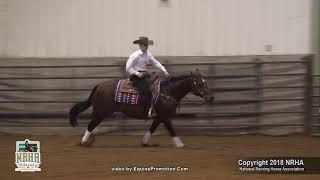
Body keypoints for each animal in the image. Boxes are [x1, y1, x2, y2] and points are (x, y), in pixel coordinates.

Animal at [70, 69, 215, 148]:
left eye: (205, 82)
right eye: (200, 83)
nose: (211, 97)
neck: (168, 91)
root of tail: (98, 86)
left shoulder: (159, 117)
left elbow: (152, 128)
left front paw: (145, 142)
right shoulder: (165, 116)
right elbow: (171, 129)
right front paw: (180, 144)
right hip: (100, 112)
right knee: (91, 125)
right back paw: (83, 142)